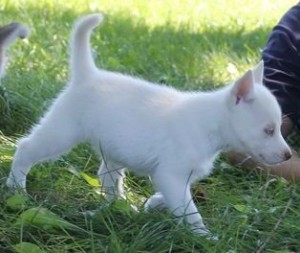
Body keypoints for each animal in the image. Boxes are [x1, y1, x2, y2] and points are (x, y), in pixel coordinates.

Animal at [6, 13, 290, 235]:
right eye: (269, 130)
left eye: (278, 128)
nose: (288, 155)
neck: (210, 124)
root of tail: (88, 74)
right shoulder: (171, 174)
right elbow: (189, 210)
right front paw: (204, 237)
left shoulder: (176, 176)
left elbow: (176, 198)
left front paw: (153, 204)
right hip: (61, 133)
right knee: (26, 148)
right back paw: (16, 186)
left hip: (113, 149)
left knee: (107, 178)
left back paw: (118, 207)